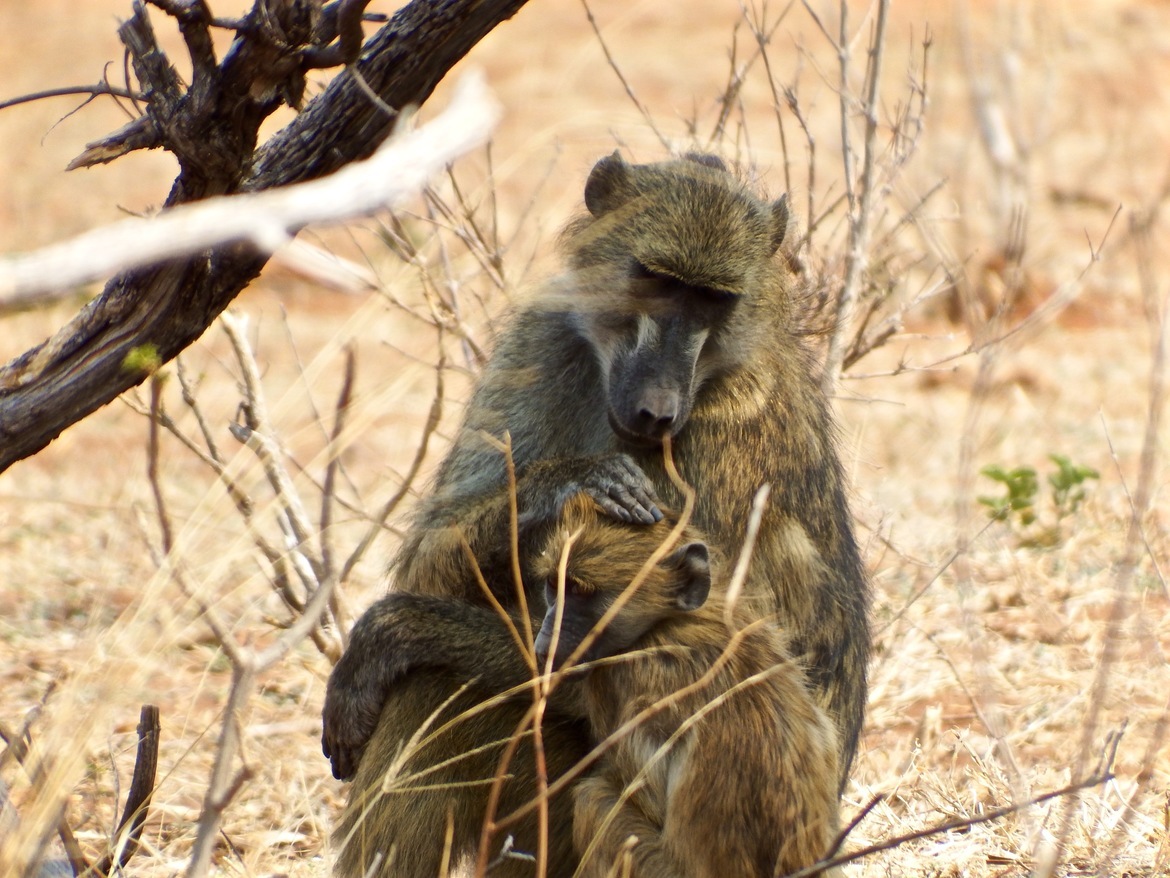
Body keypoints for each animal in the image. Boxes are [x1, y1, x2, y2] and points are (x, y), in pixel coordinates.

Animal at [534, 494, 841, 878]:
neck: (668, 622)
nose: (544, 643)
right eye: (553, 586)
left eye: (580, 591)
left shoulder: (627, 677)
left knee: (592, 800)